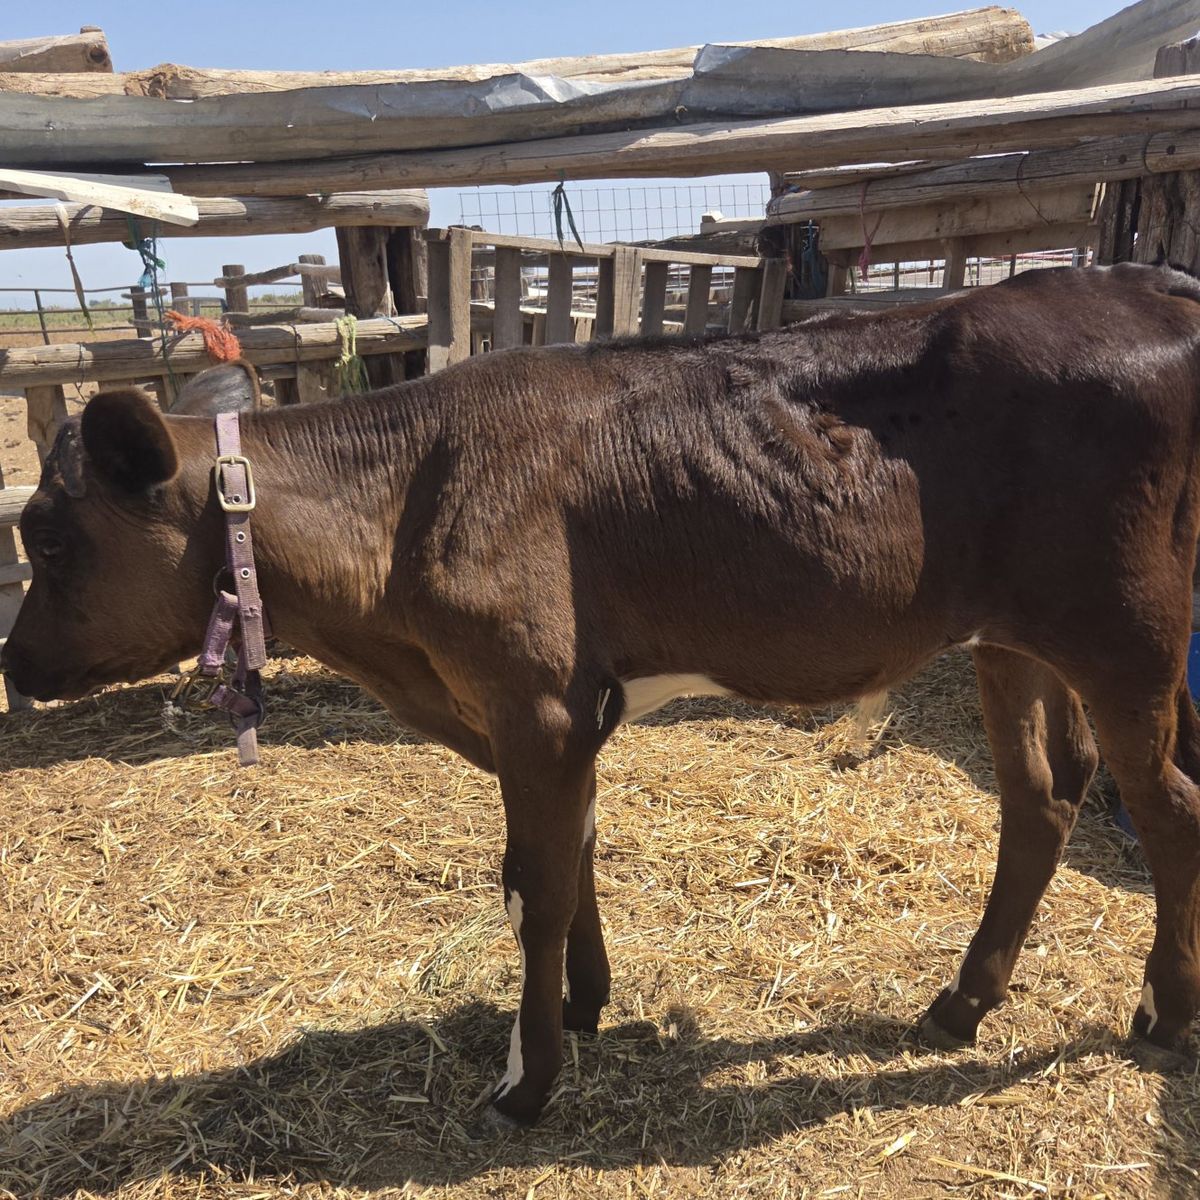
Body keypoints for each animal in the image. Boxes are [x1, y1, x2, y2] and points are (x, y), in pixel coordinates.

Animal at [5, 262, 1200, 1128]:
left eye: (49, 539)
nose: (12, 666)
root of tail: (1139, 287)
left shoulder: (534, 703)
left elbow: (531, 886)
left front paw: (526, 1083)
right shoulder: (556, 713)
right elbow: (571, 859)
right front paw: (583, 1007)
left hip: (1128, 633)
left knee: (1167, 806)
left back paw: (1161, 1013)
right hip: (1012, 639)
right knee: (1041, 799)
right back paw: (959, 1005)